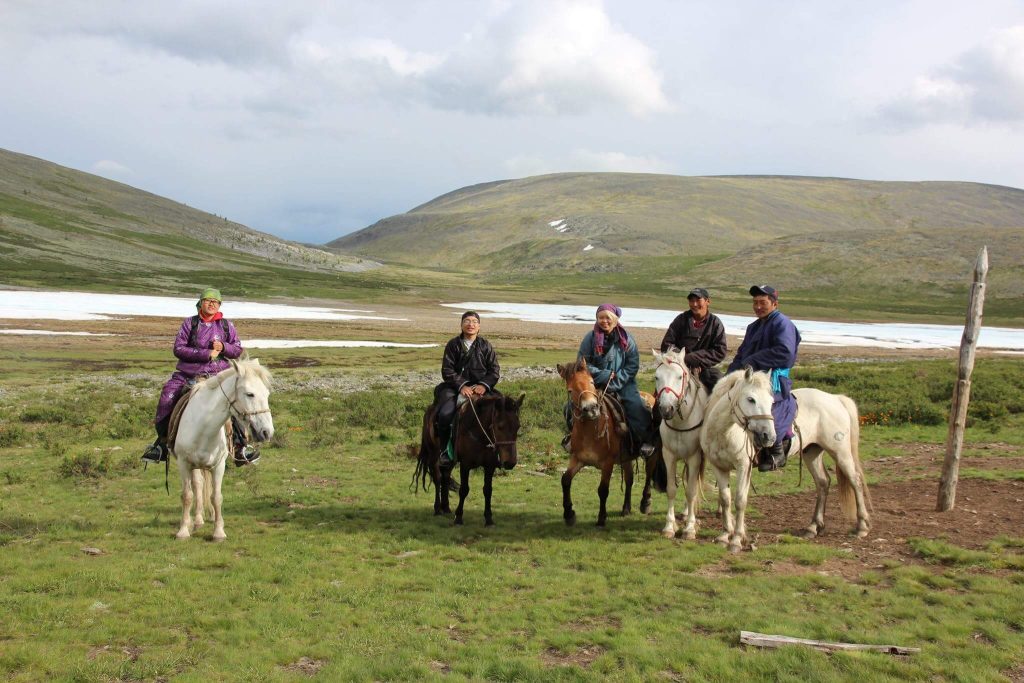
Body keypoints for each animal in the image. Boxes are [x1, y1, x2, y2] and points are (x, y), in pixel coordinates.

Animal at [173, 360, 276, 540]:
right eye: (250, 394)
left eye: (267, 394)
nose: (267, 432)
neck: (204, 428)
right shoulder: (183, 463)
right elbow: (187, 495)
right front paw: (183, 530)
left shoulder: (218, 466)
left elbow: (216, 497)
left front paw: (219, 532)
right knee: (197, 486)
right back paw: (196, 521)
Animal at [411, 393, 524, 528]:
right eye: (500, 426)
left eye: (518, 426)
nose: (510, 462)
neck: (479, 433)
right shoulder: (465, 465)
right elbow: (464, 490)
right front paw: (458, 517)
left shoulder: (489, 466)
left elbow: (488, 490)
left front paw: (488, 519)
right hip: (434, 455)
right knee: (437, 478)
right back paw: (438, 508)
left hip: (451, 461)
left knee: (445, 476)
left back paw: (446, 507)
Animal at [557, 358, 659, 528]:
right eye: (570, 390)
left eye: (592, 382)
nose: (591, 408)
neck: (590, 430)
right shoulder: (578, 459)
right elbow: (565, 480)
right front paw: (569, 514)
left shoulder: (608, 463)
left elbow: (603, 490)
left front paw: (601, 518)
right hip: (626, 457)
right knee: (629, 479)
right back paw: (626, 508)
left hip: (653, 453)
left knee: (649, 475)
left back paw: (646, 503)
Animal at [651, 350, 708, 540]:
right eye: (656, 377)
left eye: (679, 376)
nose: (666, 409)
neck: (680, 422)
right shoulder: (669, 455)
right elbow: (671, 489)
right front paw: (670, 526)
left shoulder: (694, 457)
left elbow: (691, 491)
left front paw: (689, 528)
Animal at [704, 366, 872, 552]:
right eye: (751, 399)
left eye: (771, 402)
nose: (769, 437)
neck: (723, 432)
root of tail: (836, 398)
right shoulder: (718, 467)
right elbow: (725, 500)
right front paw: (724, 535)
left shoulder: (743, 467)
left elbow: (740, 500)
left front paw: (736, 540)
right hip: (811, 453)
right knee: (823, 482)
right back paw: (813, 526)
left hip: (840, 452)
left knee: (855, 481)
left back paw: (861, 526)